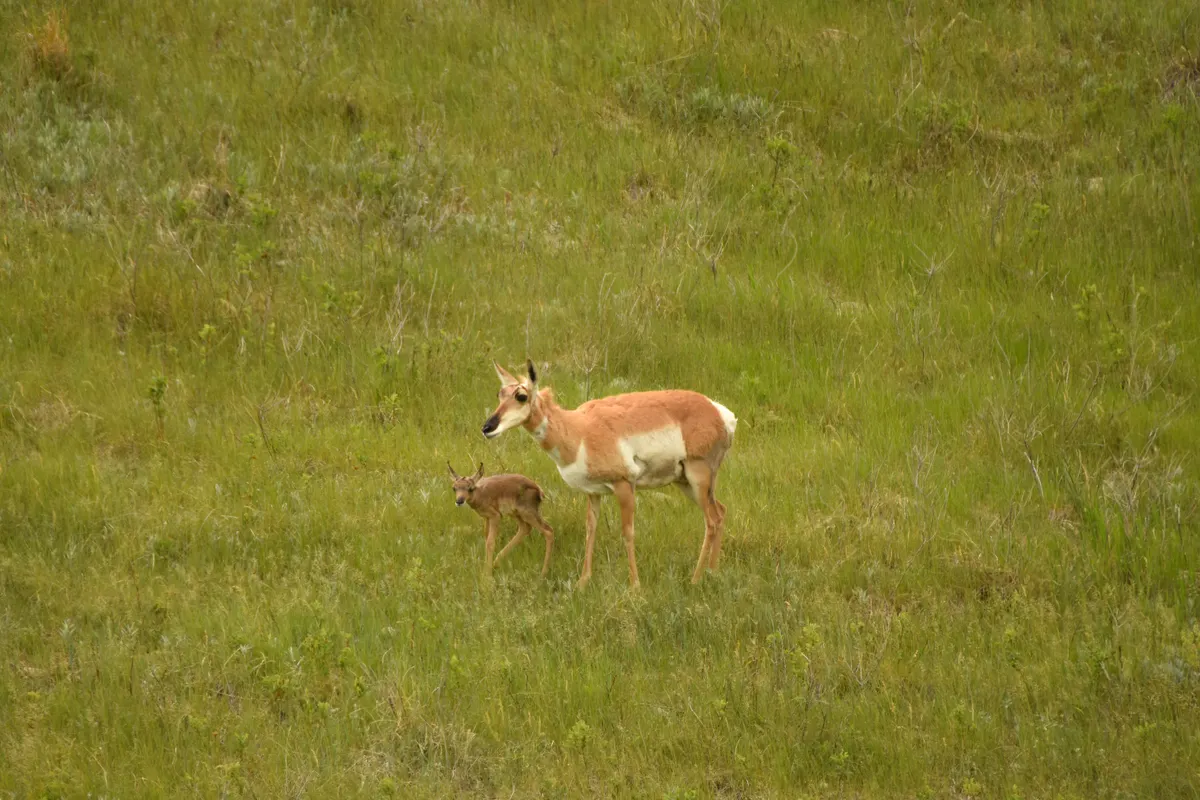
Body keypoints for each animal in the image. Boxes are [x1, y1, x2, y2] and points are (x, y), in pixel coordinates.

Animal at [481, 360, 736, 589]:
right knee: (721, 512)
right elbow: (590, 530)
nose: (487, 428)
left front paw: (635, 587)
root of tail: (719, 411)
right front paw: (583, 582)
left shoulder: (624, 485)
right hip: (686, 482)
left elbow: (628, 532)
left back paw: (695, 579)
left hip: (697, 476)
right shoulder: (593, 493)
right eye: (500, 394)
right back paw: (713, 572)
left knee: (711, 521)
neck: (580, 430)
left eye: (521, 396)